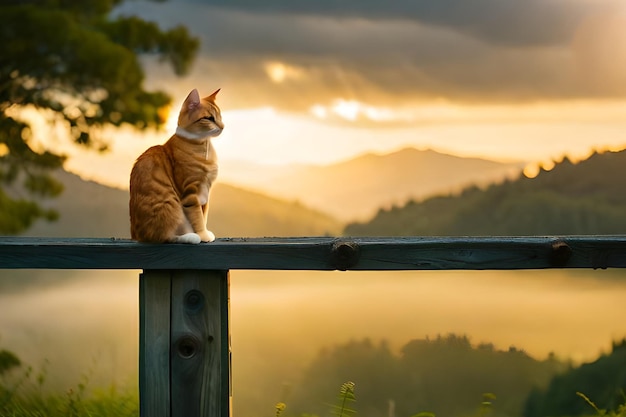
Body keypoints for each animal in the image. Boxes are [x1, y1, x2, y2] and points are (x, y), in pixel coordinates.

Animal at [128, 88, 223, 244]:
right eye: (209, 118)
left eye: (220, 116)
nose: (222, 126)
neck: (203, 146)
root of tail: (136, 236)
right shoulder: (191, 193)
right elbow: (198, 218)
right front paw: (202, 235)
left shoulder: (205, 193)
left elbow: (204, 215)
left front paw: (206, 233)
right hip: (170, 205)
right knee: (164, 236)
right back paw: (190, 237)